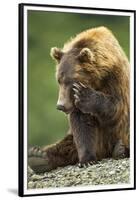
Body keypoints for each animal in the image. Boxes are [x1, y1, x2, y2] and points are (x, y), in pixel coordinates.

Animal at [28, 26, 129, 173]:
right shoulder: (74, 105)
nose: (60, 106)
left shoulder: (116, 79)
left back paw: (121, 149)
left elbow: (117, 106)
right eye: (59, 80)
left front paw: (85, 95)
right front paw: (87, 160)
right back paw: (38, 156)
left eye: (71, 80)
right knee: (68, 143)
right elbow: (82, 126)